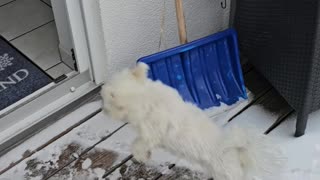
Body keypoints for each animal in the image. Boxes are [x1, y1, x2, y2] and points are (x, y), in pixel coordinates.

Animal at [101, 63, 286, 180]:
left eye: (109, 102)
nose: (103, 110)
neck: (145, 97)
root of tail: (236, 151)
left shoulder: (151, 132)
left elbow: (138, 144)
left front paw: (141, 155)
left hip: (225, 174)